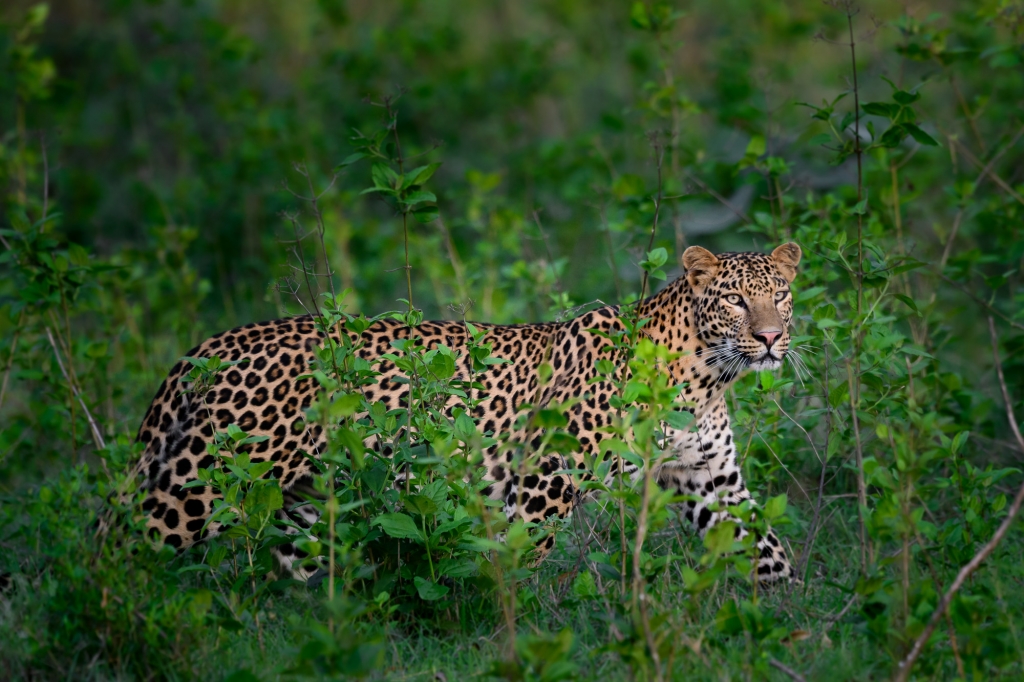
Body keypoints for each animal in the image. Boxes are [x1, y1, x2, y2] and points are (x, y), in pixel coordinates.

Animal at [132, 241, 802, 581]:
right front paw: (501, 627)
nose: (771, 338)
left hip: (302, 504)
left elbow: (768, 550)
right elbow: (517, 560)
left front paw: (787, 627)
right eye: (736, 300)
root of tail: (207, 346)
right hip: (202, 482)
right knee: (127, 544)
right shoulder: (547, 478)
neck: (706, 376)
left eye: (781, 294)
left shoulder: (710, 479)